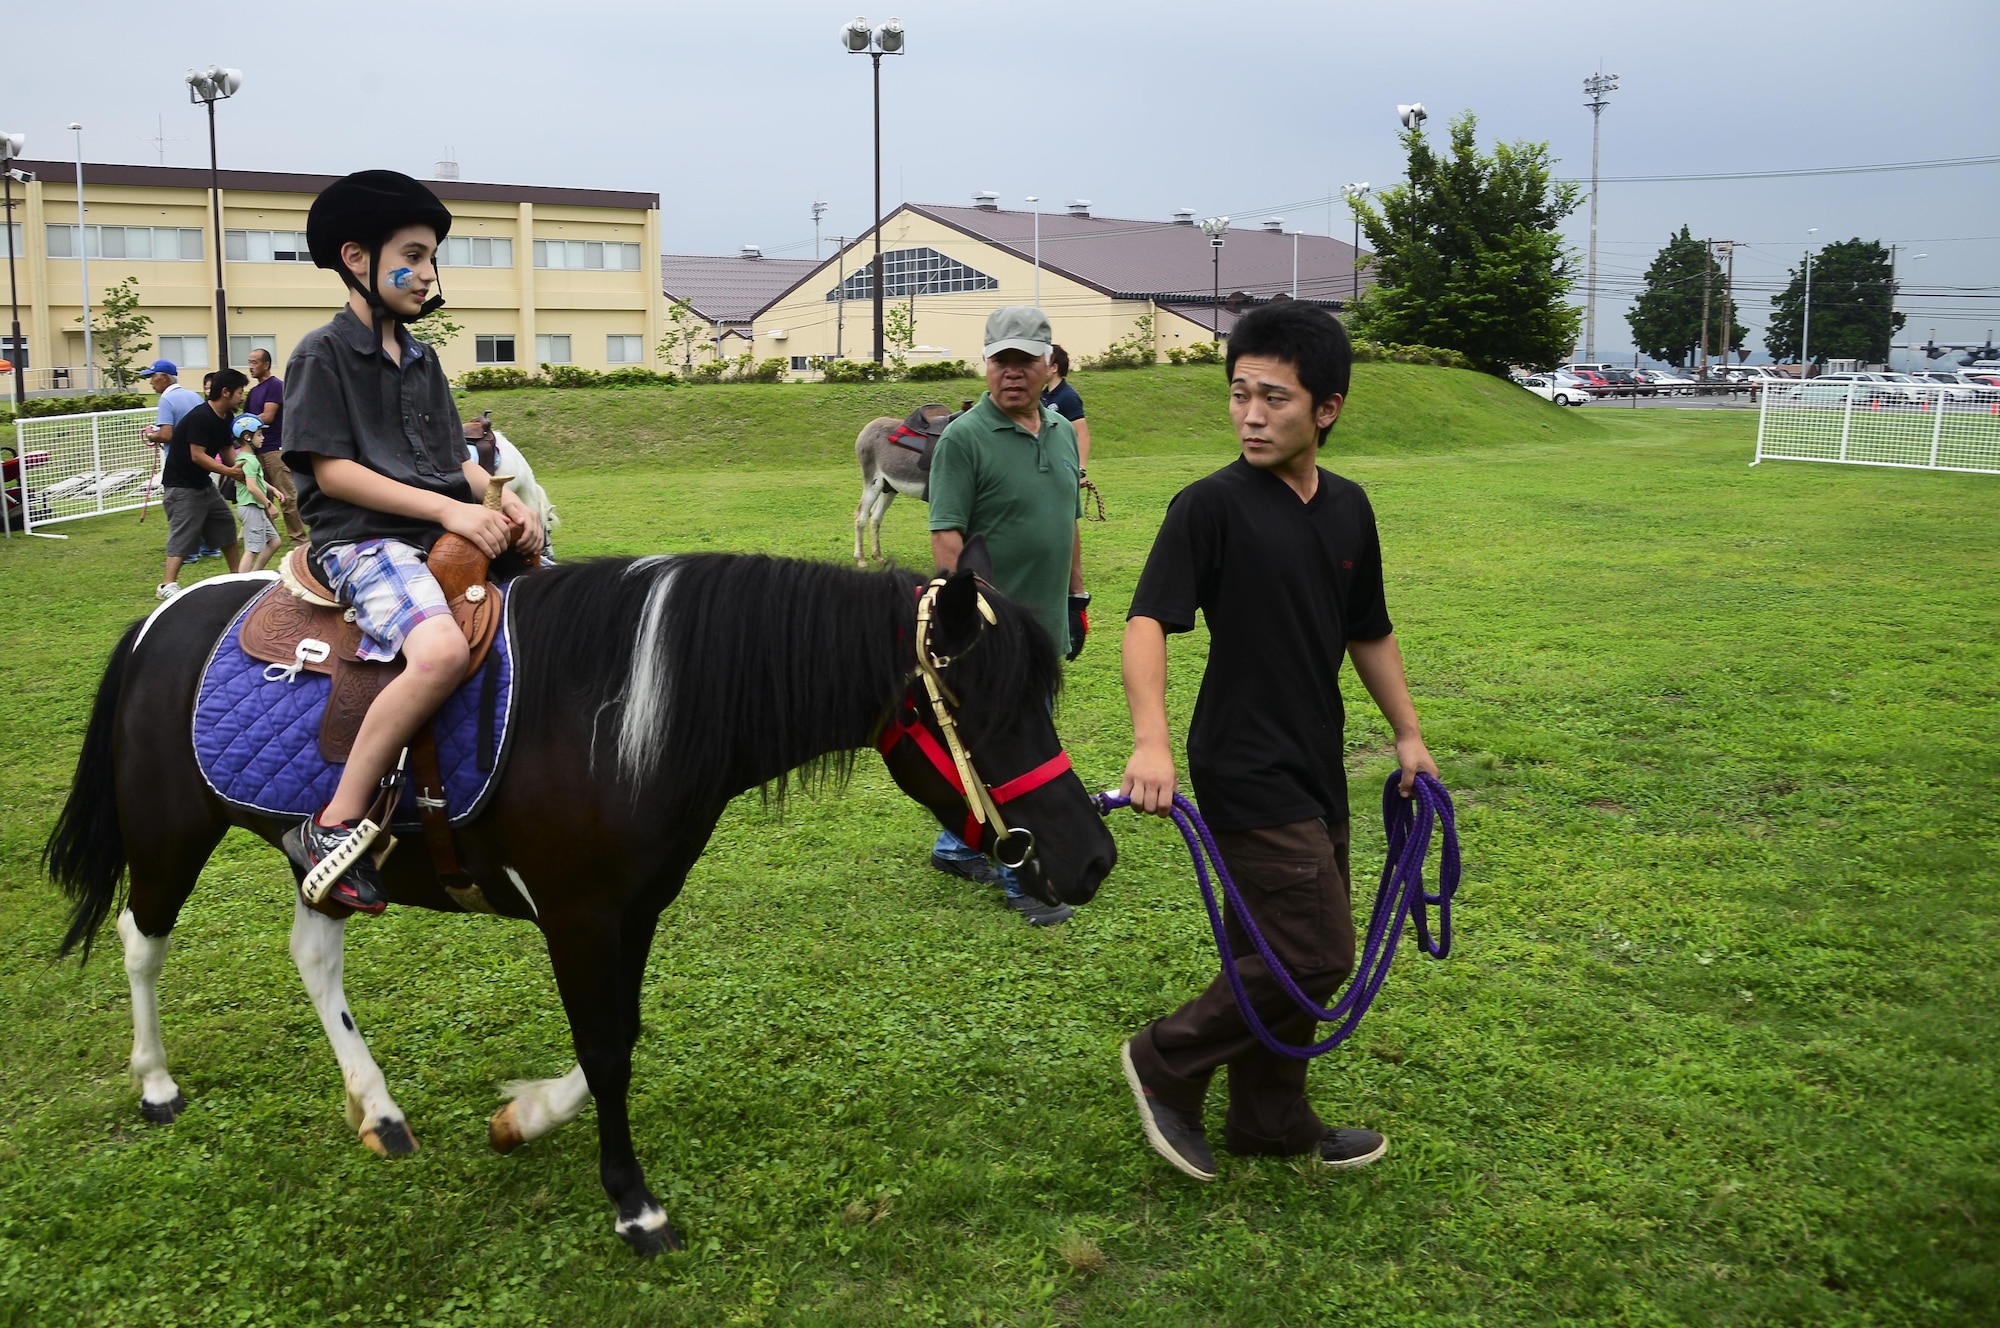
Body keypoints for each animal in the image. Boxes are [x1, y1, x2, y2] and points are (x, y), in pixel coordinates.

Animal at [47, 544, 1120, 1256]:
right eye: (987, 708)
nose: (1093, 858)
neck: (626, 715)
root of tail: (162, 620)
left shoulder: (628, 911)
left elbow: (617, 1038)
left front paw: (521, 1118)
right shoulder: (579, 916)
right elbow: (607, 1053)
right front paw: (633, 1204)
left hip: (318, 856)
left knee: (314, 953)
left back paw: (379, 1110)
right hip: (168, 837)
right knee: (143, 943)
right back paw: (155, 1083)